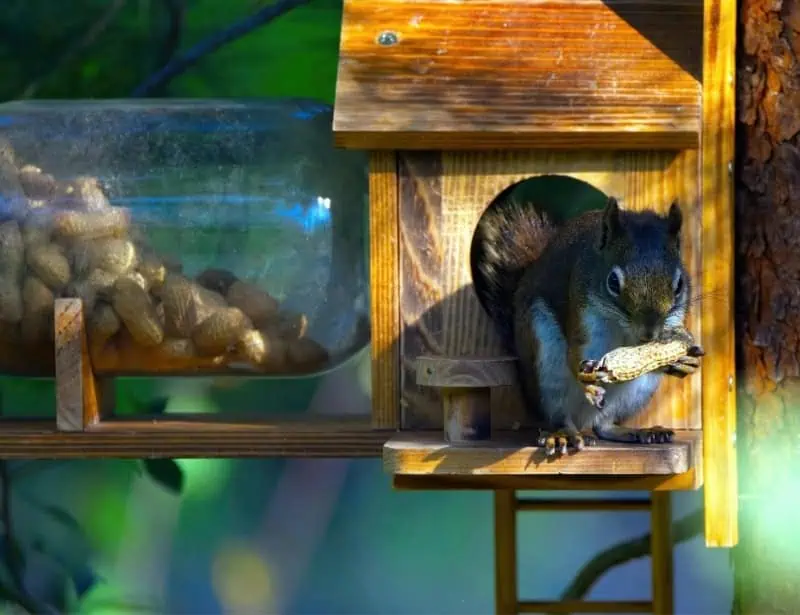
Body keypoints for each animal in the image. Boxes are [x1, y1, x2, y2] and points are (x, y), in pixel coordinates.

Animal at [470, 192, 704, 456]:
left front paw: (685, 361)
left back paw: (640, 432)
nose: (649, 334)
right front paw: (588, 381)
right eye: (613, 282)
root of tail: (584, 421)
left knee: (605, 425)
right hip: (546, 370)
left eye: (679, 284)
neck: (624, 329)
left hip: (637, 392)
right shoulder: (584, 313)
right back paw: (563, 435)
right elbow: (578, 353)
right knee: (559, 415)